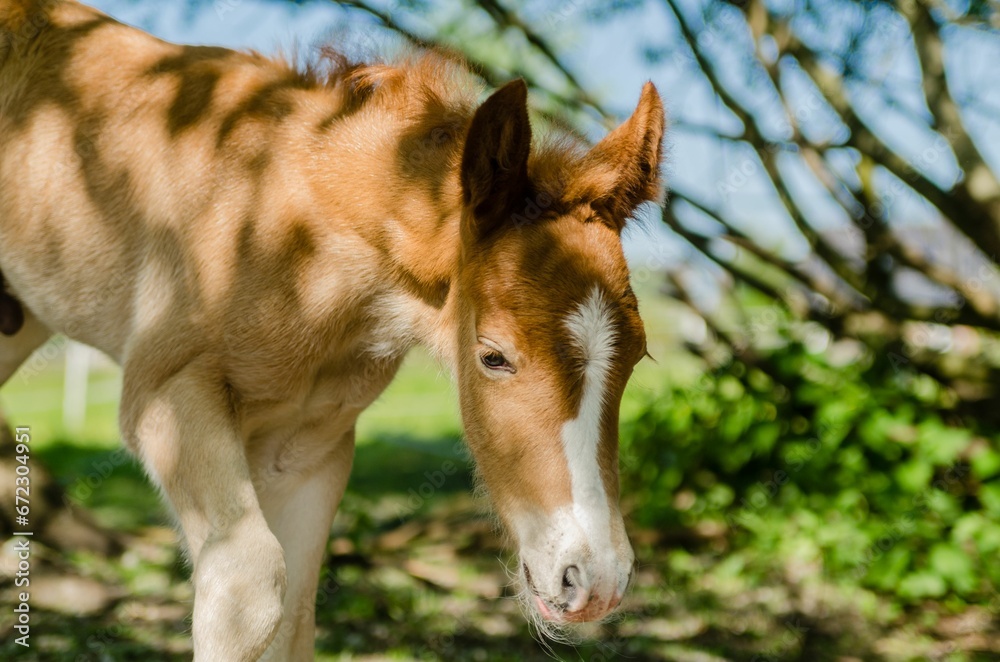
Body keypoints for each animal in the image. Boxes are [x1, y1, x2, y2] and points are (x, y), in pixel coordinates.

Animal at [0, 0, 665, 658]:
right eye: (493, 357)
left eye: (636, 357)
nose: (595, 580)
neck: (290, 244)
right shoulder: (162, 395)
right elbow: (246, 594)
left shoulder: (304, 453)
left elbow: (293, 616)